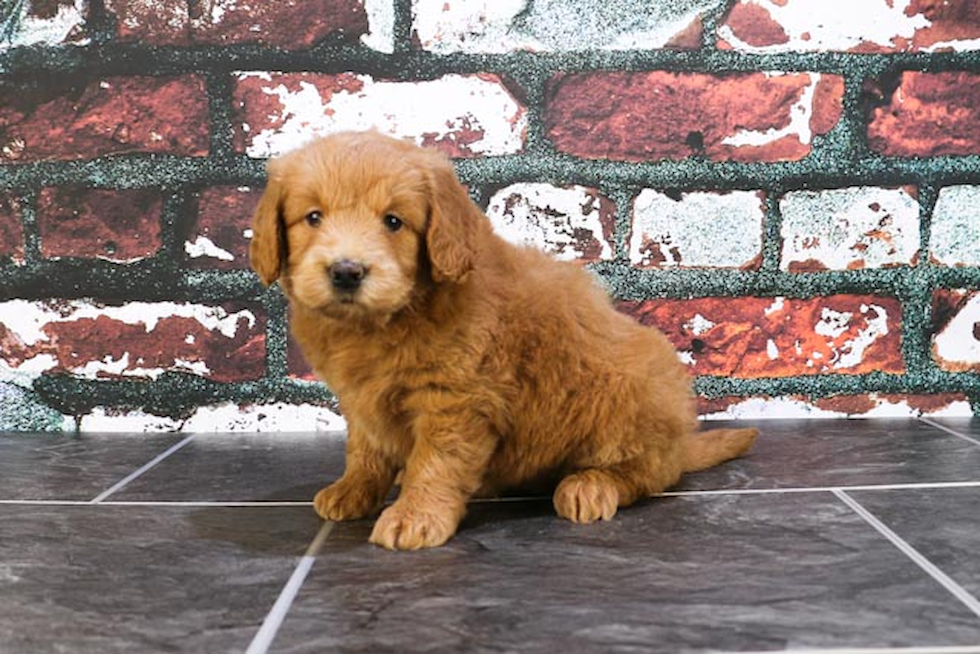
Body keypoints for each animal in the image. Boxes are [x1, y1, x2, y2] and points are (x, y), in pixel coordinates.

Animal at [247, 131, 756, 552]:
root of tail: (680, 439)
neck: (384, 321)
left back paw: (592, 485)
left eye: (393, 221)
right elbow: (366, 450)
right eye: (313, 217)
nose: (347, 271)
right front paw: (352, 489)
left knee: (649, 473)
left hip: (629, 398)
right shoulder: (360, 399)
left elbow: (435, 463)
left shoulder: (455, 401)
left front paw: (415, 515)